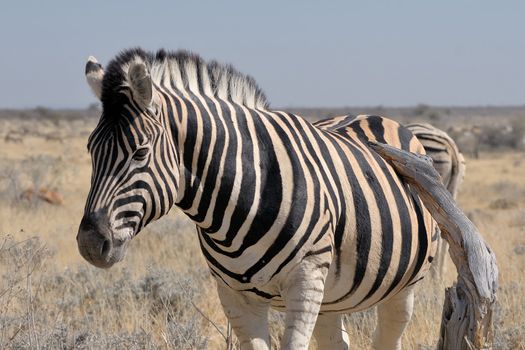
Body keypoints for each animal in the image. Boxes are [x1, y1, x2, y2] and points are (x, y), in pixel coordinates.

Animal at [78, 47, 436, 350]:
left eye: (140, 153)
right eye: (91, 150)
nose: (90, 244)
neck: (244, 195)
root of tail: (375, 117)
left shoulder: (305, 282)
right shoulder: (233, 294)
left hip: (403, 287)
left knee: (389, 336)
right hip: (332, 297)